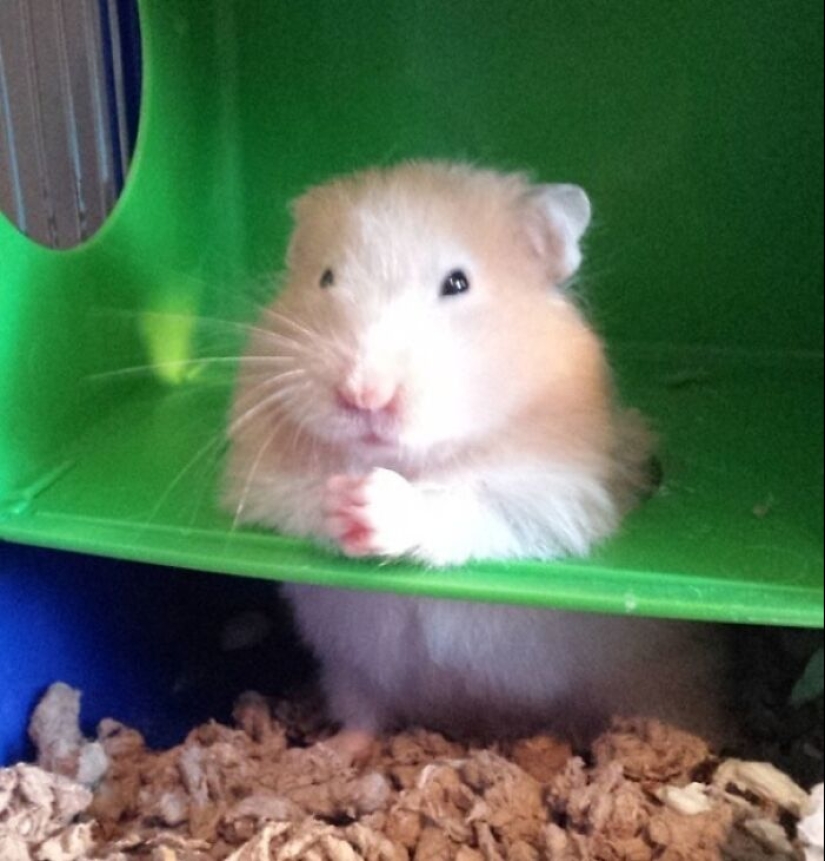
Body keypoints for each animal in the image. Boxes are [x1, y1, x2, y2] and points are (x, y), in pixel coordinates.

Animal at [224, 162, 727, 749]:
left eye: (457, 283)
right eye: (325, 278)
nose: (364, 395)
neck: (413, 460)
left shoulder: (555, 501)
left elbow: (464, 507)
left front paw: (373, 503)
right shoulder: (260, 486)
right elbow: (299, 501)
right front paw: (343, 497)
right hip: (349, 670)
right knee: (364, 715)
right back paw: (335, 751)